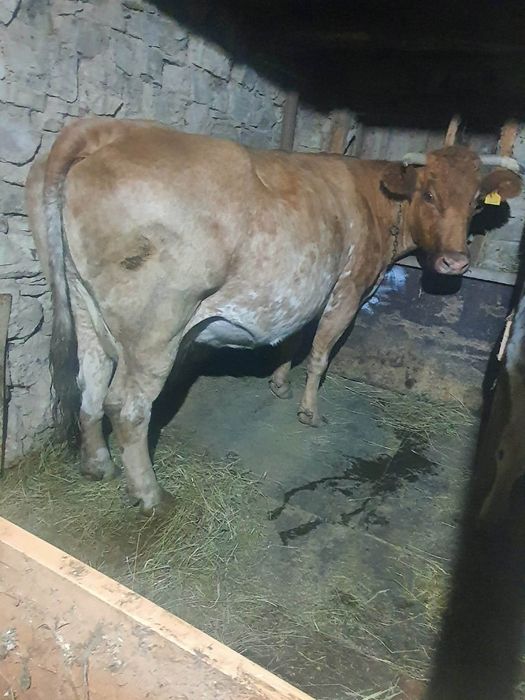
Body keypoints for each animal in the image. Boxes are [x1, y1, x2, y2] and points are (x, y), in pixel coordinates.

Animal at [25, 117, 522, 514]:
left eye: (476, 202)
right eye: (430, 194)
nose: (456, 262)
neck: (373, 198)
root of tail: (111, 129)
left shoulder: (306, 289)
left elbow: (294, 337)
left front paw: (280, 383)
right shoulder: (348, 288)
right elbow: (320, 353)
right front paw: (309, 411)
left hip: (83, 302)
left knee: (89, 383)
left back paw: (97, 465)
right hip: (157, 325)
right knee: (127, 407)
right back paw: (151, 496)